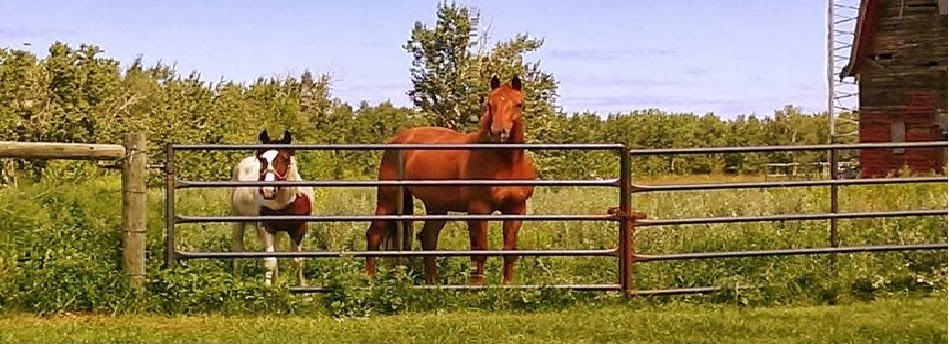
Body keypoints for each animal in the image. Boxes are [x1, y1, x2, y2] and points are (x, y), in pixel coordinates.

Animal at [230, 129, 314, 284]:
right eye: (262, 159)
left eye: (285, 158)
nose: (268, 190)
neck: (286, 201)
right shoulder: (266, 227)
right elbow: (270, 261)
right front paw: (268, 288)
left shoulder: (298, 228)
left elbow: (297, 260)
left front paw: (301, 287)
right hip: (238, 219)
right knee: (238, 248)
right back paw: (237, 281)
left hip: (279, 231)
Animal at [366, 75, 536, 284]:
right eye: (489, 104)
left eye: (518, 104)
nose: (498, 132)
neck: (506, 164)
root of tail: (398, 140)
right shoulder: (478, 210)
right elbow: (479, 250)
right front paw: (476, 286)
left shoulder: (516, 209)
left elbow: (509, 251)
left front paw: (507, 286)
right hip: (388, 198)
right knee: (374, 234)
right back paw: (368, 279)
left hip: (436, 206)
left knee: (428, 238)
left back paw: (433, 283)